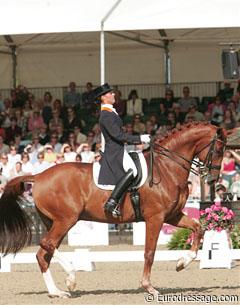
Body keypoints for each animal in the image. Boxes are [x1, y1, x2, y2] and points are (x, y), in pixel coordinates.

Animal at [0, 121, 226, 296]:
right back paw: (71, 278)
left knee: (44, 252)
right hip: (66, 219)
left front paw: (181, 263)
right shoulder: (155, 217)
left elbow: (199, 228)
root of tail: (38, 176)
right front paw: (149, 287)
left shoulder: (172, 215)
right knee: (47, 244)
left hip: (54, 221)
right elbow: (149, 252)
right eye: (218, 149)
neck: (166, 167)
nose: (212, 179)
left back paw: (57, 292)